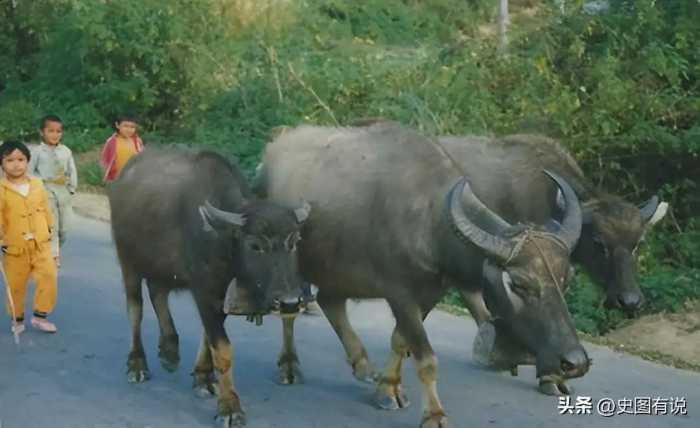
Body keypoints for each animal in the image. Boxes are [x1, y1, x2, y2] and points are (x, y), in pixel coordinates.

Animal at [108, 145, 312, 426]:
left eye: (294, 242)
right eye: (255, 245)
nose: (290, 302)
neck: (221, 239)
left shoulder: (219, 292)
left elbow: (208, 336)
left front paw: (203, 377)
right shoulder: (205, 291)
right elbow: (223, 349)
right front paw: (230, 407)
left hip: (162, 267)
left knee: (158, 294)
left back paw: (169, 351)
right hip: (128, 262)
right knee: (135, 310)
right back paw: (137, 364)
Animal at [254, 122, 588, 426]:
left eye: (565, 280)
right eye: (519, 284)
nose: (575, 362)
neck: (429, 220)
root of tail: (271, 151)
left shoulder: (429, 294)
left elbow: (400, 340)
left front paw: (388, 388)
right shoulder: (399, 294)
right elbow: (425, 357)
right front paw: (434, 414)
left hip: (337, 268)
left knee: (329, 301)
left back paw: (362, 365)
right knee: (290, 311)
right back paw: (290, 366)